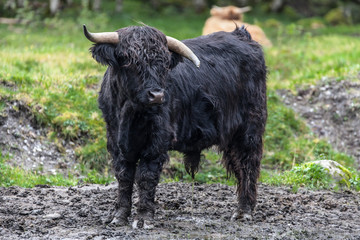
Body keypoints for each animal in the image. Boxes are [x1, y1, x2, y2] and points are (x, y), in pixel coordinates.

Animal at [83, 24, 266, 229]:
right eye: (129, 61)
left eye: (164, 64)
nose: (157, 95)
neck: (129, 113)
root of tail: (241, 35)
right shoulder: (115, 141)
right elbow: (124, 176)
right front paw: (119, 216)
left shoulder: (156, 143)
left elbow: (146, 176)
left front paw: (143, 218)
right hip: (231, 136)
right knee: (238, 166)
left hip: (249, 129)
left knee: (248, 164)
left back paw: (244, 211)